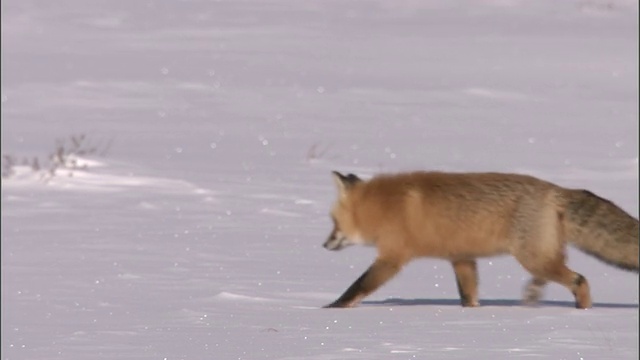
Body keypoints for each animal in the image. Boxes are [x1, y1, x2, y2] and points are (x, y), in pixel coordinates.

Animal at [322, 172, 636, 310]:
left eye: (333, 222)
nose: (324, 245)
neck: (384, 206)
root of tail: (554, 189)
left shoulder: (392, 257)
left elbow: (359, 285)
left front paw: (332, 309)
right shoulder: (461, 258)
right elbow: (469, 295)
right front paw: (472, 317)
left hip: (532, 258)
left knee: (580, 280)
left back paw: (582, 313)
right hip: (540, 258)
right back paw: (534, 297)